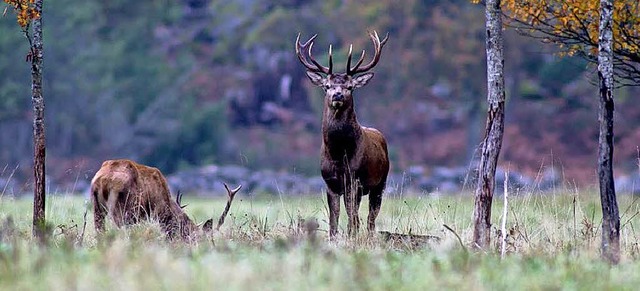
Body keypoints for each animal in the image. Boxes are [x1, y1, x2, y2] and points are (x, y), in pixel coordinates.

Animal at [294, 32, 390, 238]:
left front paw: (352, 237)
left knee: (370, 217)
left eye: (350, 87)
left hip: (380, 182)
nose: (337, 95)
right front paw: (333, 238)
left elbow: (352, 217)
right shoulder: (330, 183)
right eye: (327, 85)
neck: (338, 154)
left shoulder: (354, 181)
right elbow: (334, 218)